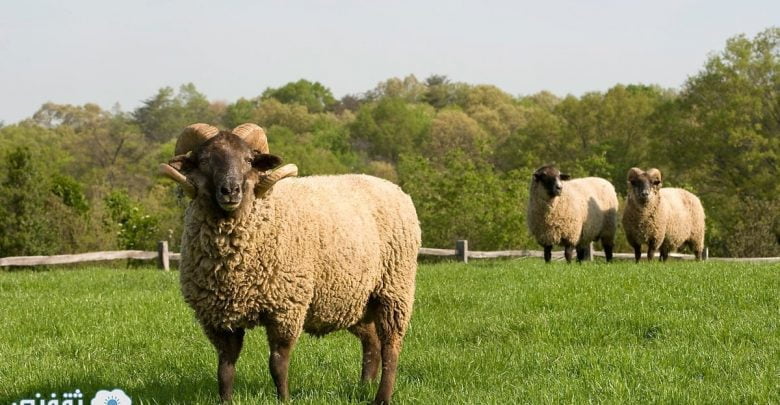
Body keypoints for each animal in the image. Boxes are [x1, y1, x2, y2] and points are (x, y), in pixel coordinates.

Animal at [158, 123, 420, 404]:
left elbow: (278, 363)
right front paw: (225, 400)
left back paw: (382, 396)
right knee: (371, 342)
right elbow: (225, 368)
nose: (230, 190)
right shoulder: (218, 317)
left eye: (248, 160)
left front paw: (284, 398)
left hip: (394, 289)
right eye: (205, 160)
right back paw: (363, 386)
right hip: (354, 299)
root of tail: (394, 187)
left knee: (391, 347)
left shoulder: (286, 306)